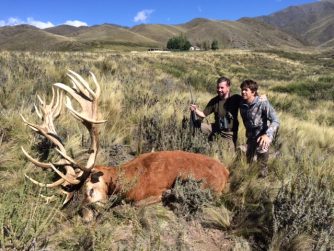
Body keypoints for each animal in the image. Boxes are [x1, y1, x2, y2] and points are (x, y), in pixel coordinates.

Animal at [21, 70, 230, 216]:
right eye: (72, 197)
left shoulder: (150, 191)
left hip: (208, 187)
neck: (127, 178)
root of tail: (226, 172)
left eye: (90, 190)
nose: (85, 215)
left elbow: (136, 203)